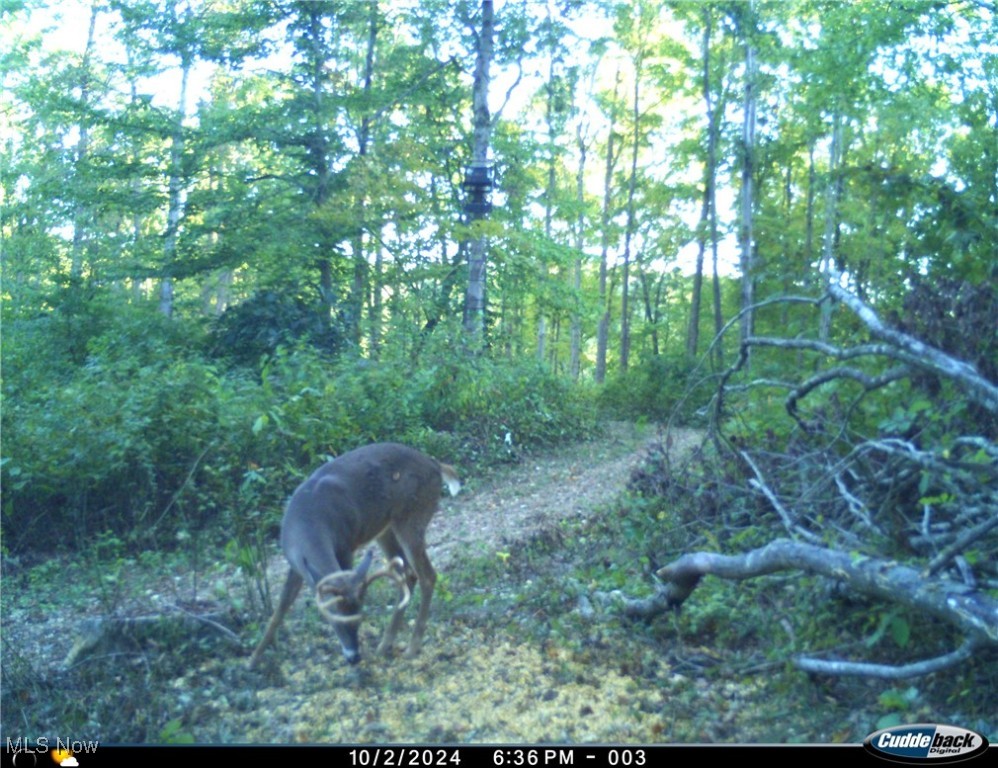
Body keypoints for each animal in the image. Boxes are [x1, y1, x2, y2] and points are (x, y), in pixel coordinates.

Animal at [248, 440, 458, 668]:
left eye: (359, 618)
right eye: (332, 616)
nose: (354, 657)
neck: (306, 525)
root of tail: (435, 464)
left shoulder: (345, 547)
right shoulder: (295, 565)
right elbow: (280, 608)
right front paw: (253, 659)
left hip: (412, 516)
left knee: (428, 575)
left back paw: (411, 648)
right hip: (385, 528)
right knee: (408, 574)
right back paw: (385, 645)